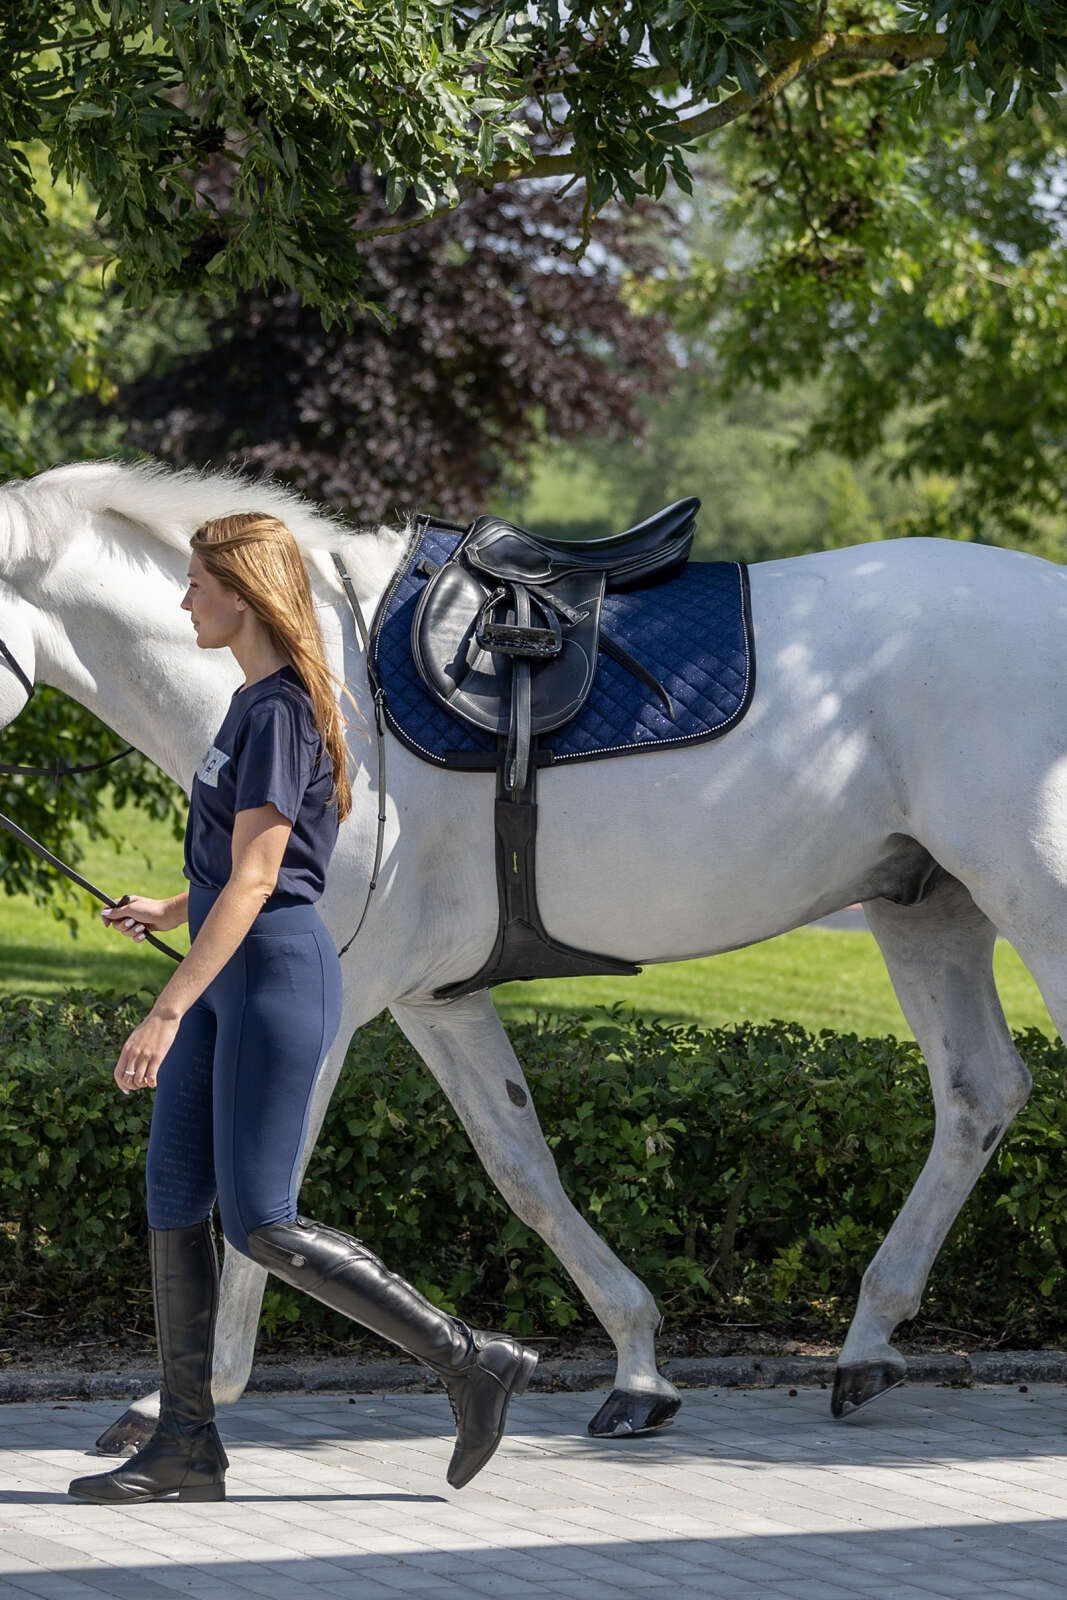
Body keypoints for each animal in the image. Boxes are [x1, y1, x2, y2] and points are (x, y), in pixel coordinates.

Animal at [0, 458, 1050, 1451]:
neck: (322, 687)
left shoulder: (323, 1003)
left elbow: (266, 1194)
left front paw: (180, 1400)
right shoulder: (436, 998)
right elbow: (522, 1168)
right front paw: (637, 1370)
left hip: (1033, 899)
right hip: (925, 909)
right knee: (978, 1094)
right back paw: (867, 1344)